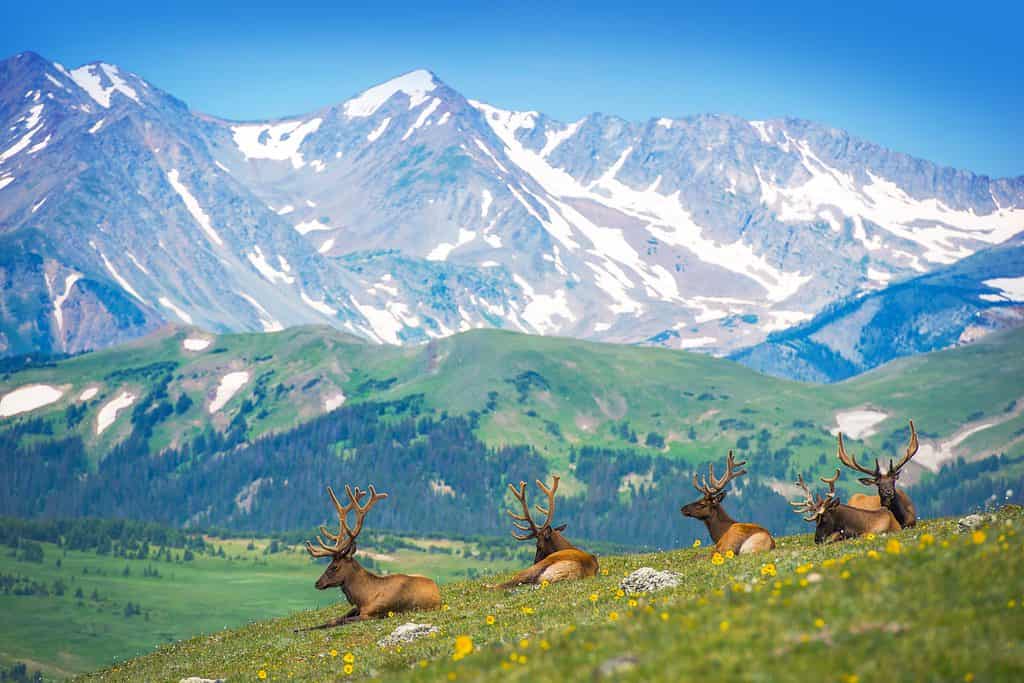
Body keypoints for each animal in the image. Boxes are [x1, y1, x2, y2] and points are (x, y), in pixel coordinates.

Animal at [296, 485, 440, 630]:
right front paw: (299, 629)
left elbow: (338, 621)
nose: (317, 583)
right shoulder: (356, 608)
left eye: (334, 566)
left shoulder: (373, 614)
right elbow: (333, 620)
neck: (364, 597)